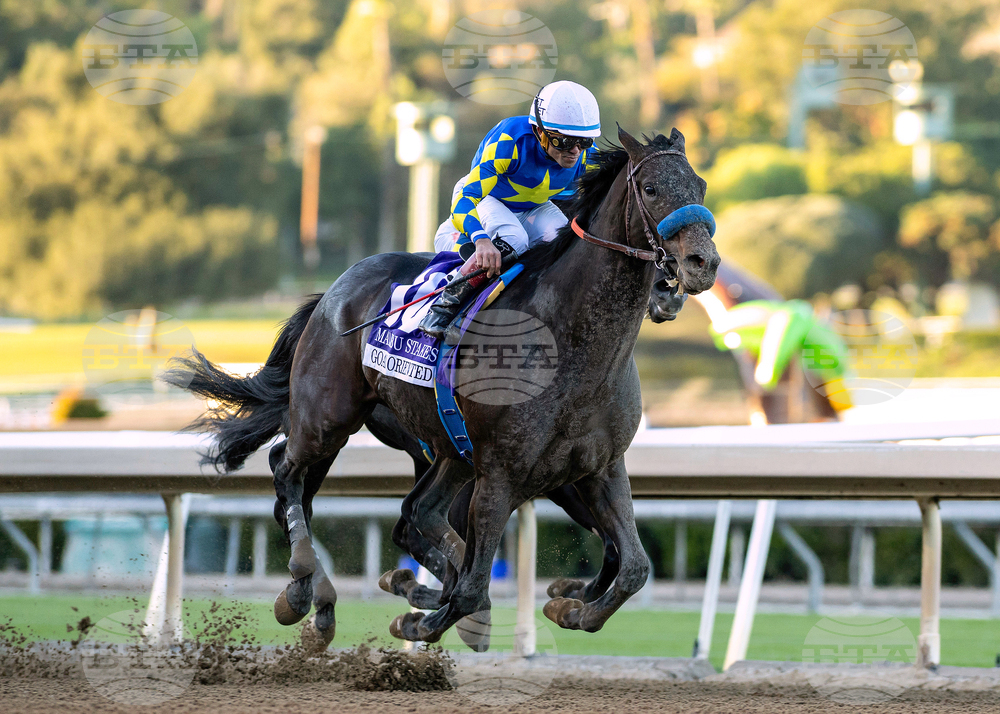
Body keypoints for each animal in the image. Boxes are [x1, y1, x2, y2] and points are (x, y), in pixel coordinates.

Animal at [166, 126, 718, 648]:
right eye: (650, 188)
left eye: (700, 185)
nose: (701, 264)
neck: (573, 342)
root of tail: (332, 291)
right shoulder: (502, 472)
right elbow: (474, 586)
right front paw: (423, 621)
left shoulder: (599, 467)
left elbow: (632, 567)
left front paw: (570, 607)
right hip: (328, 417)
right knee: (288, 470)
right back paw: (307, 591)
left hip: (449, 450)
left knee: (409, 510)